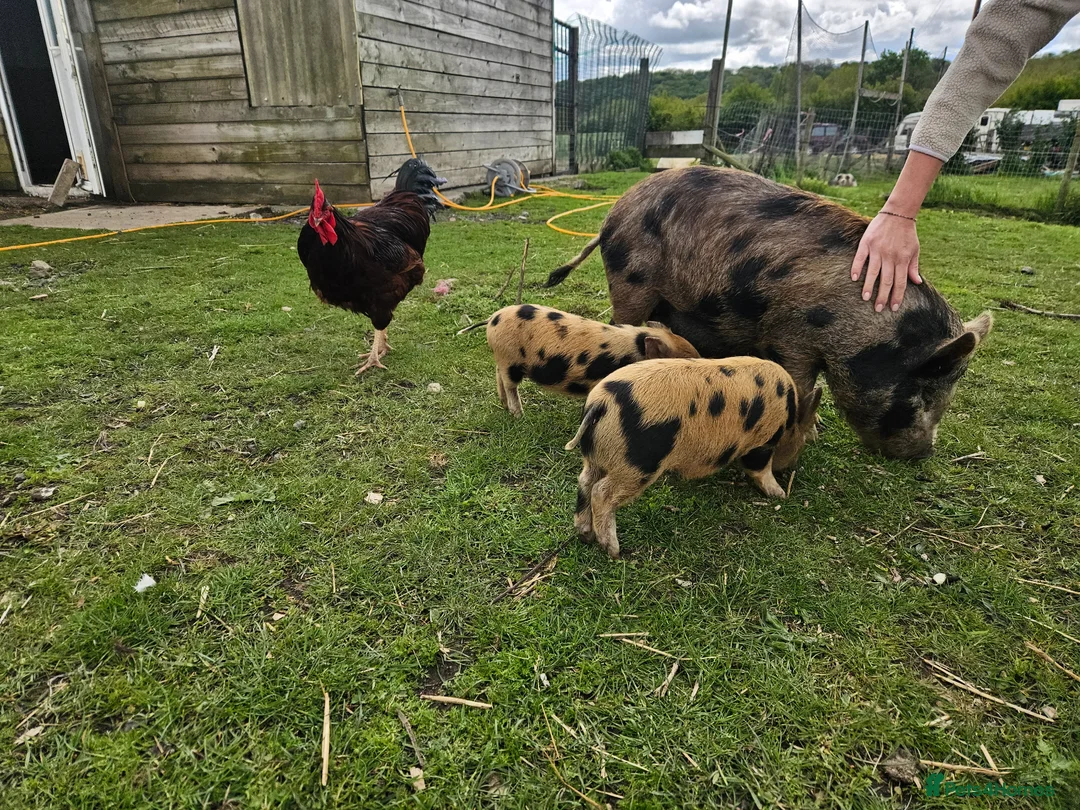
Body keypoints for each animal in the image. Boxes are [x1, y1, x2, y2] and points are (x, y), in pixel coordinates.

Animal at [480, 303, 699, 416]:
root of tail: (492, 319)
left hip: (503, 360)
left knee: (499, 377)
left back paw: (504, 405)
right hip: (509, 360)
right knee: (511, 386)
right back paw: (519, 414)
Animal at [545, 166, 992, 460]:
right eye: (922, 392)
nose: (924, 454)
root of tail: (611, 216)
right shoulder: (790, 335)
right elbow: (800, 383)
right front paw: (808, 433)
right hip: (630, 280)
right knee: (620, 324)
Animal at [565, 357, 823, 559]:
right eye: (802, 439)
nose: (790, 466)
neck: (790, 414)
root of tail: (600, 403)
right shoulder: (763, 442)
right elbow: (760, 469)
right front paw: (780, 494)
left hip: (597, 457)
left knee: (585, 481)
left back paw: (585, 534)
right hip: (637, 463)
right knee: (601, 492)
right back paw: (614, 551)